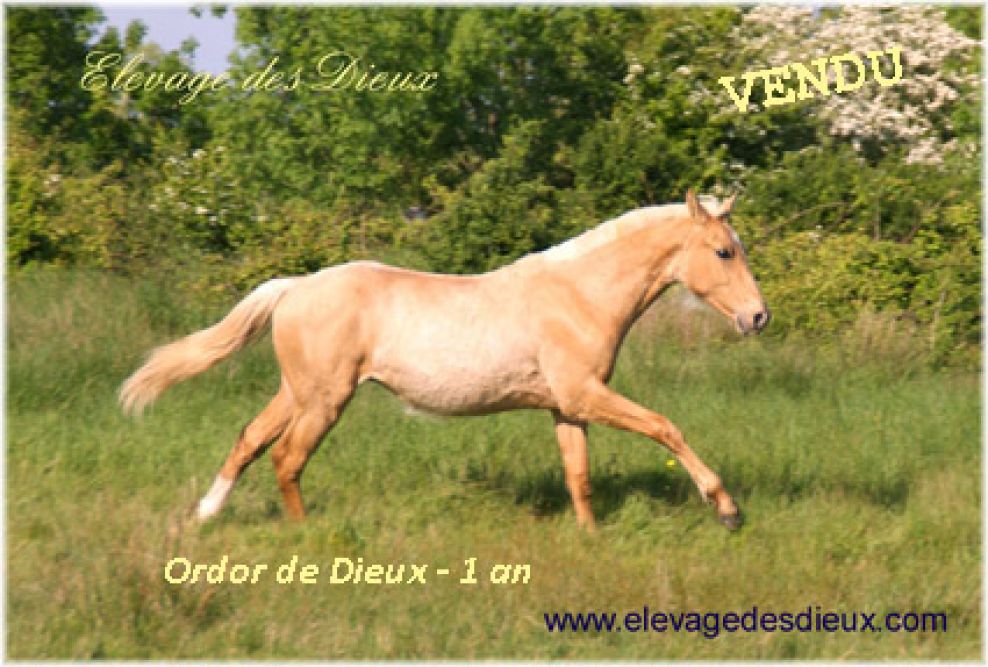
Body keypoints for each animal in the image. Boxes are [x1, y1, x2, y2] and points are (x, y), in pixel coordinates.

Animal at [120, 190, 769, 530]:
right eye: (723, 251)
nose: (758, 317)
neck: (579, 293)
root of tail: (295, 286)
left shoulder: (568, 406)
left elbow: (578, 475)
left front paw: (590, 535)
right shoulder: (586, 395)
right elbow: (666, 428)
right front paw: (727, 508)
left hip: (298, 391)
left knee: (250, 440)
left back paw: (207, 512)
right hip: (325, 399)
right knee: (286, 457)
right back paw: (304, 534)